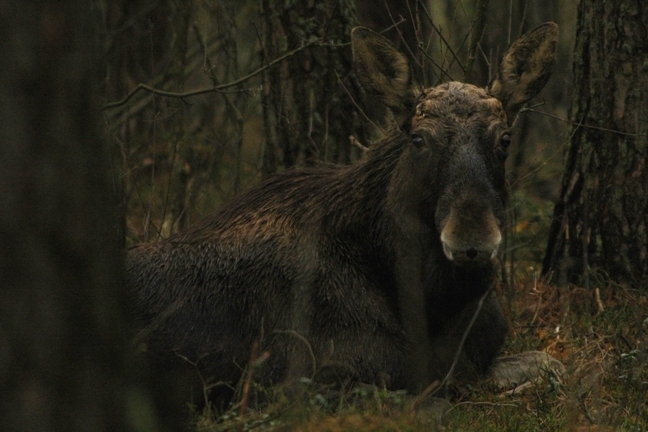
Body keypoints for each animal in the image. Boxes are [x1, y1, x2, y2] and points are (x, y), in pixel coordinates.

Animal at [125, 22, 556, 402]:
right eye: (418, 139)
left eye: (505, 139)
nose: (471, 241)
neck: (430, 302)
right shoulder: (300, 379)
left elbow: (550, 363)